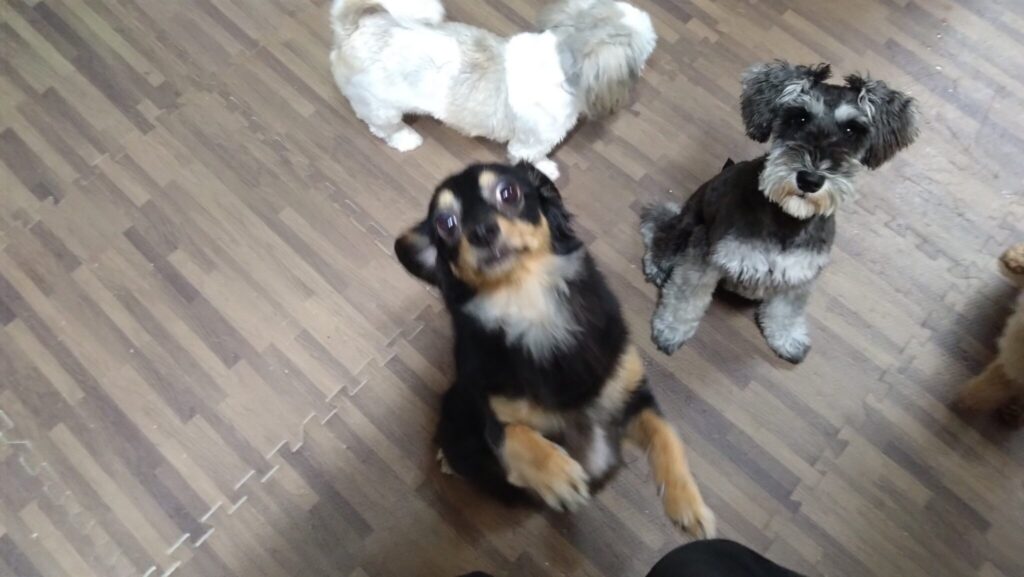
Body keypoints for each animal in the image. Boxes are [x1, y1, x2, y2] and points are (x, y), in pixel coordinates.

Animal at [329, 0, 656, 180]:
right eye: (645, 50)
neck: (562, 58)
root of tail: (353, 29)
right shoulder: (530, 142)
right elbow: (532, 156)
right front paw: (546, 168)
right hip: (380, 106)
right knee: (382, 127)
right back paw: (404, 138)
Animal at [394, 162, 714, 537]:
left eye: (509, 193)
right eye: (446, 224)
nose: (482, 231)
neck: (530, 303)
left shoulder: (633, 394)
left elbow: (667, 435)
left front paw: (688, 505)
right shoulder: (495, 419)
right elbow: (514, 436)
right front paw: (558, 475)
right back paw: (449, 458)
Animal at [640, 61, 919, 362]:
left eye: (851, 131)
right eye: (800, 118)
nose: (810, 180)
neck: (789, 217)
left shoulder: (802, 274)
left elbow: (787, 309)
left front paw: (788, 338)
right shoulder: (706, 254)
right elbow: (687, 294)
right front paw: (672, 329)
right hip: (688, 223)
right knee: (663, 231)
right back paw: (658, 263)